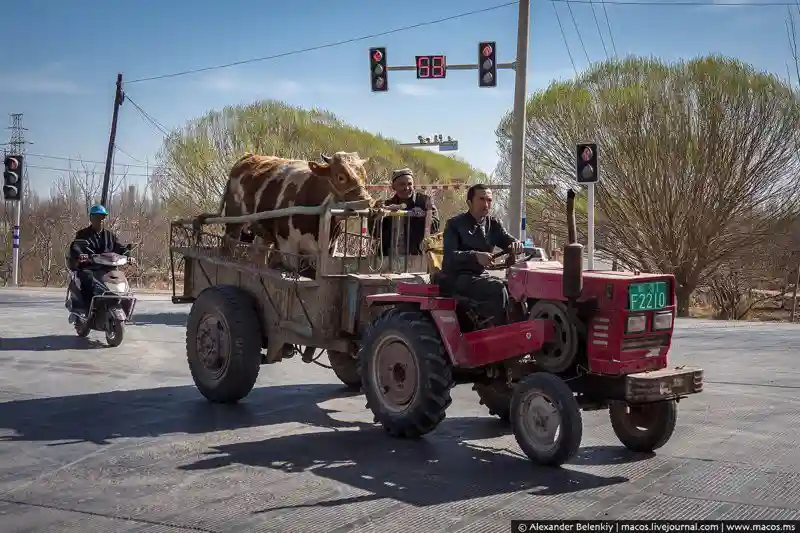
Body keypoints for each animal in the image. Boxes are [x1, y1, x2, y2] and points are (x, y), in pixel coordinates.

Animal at [198, 150, 376, 274]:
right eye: (340, 177)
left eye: (365, 177)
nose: (367, 201)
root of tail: (247, 156)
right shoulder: (288, 246)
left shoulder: (330, 250)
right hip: (233, 222)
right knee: (228, 247)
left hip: (263, 233)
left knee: (258, 254)